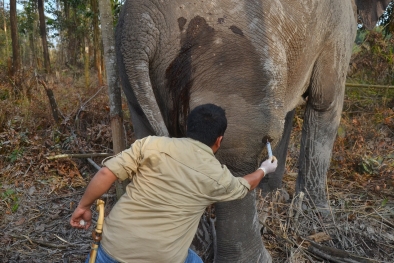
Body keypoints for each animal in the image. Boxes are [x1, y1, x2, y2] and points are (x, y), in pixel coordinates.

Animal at [114, 0, 390, 263]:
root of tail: (138, 28)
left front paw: (274, 195)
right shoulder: (338, 25)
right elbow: (326, 103)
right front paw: (320, 216)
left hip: (139, 82)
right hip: (232, 59)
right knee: (239, 151)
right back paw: (256, 258)